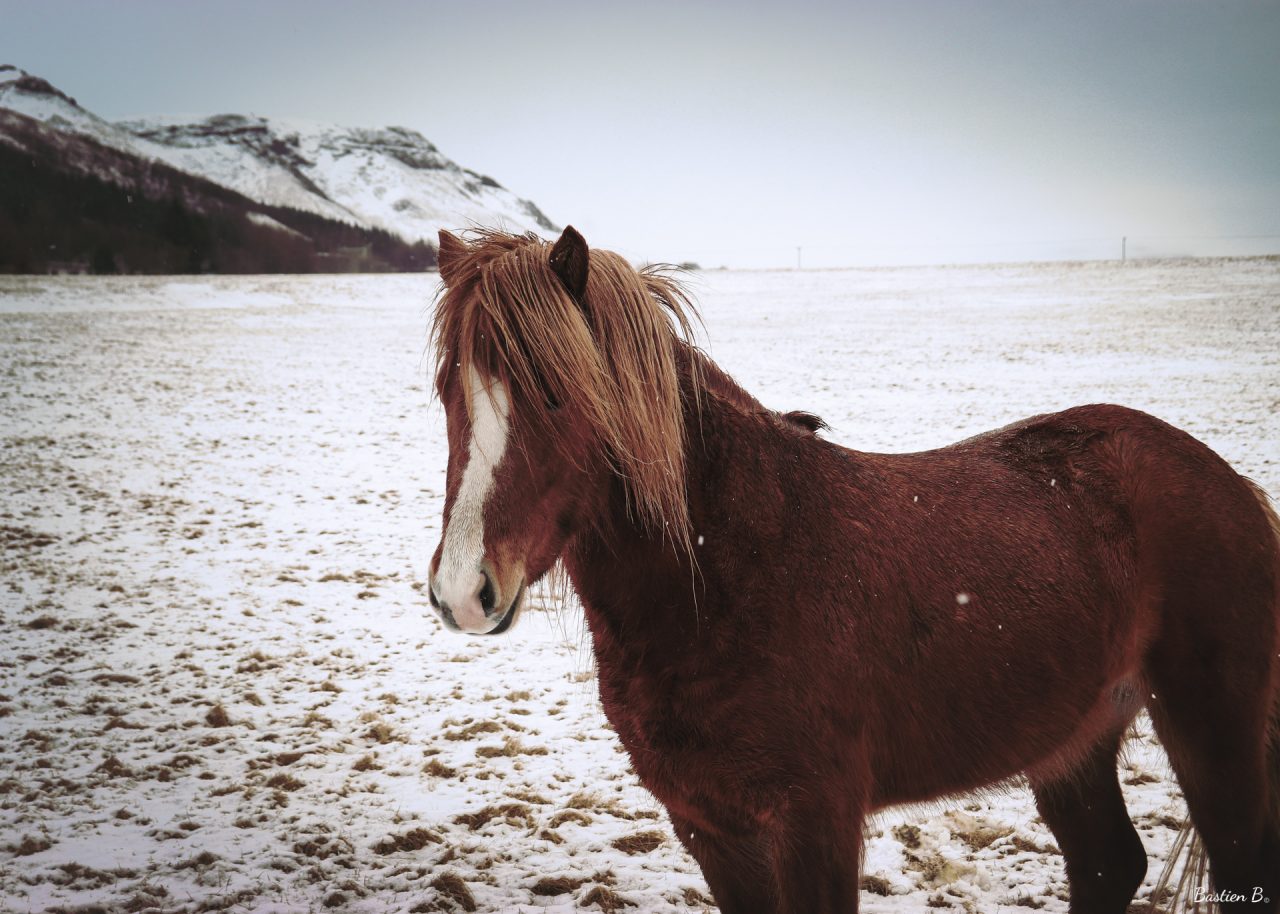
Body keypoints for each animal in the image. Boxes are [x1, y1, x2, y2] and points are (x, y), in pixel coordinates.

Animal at [425, 225, 1280, 914]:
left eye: (554, 391)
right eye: (445, 391)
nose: (464, 591)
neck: (725, 575)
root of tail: (1230, 482)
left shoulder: (816, 822)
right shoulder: (709, 826)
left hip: (1212, 729)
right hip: (1074, 739)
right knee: (1107, 865)